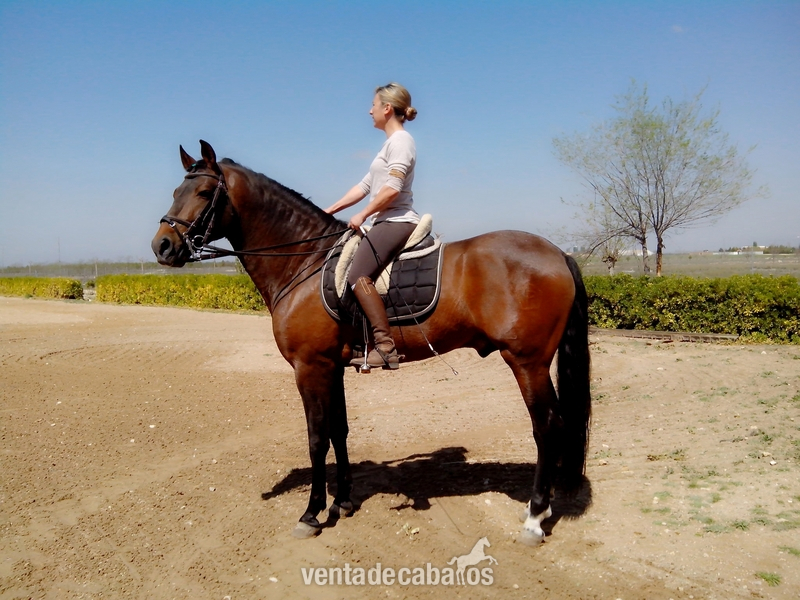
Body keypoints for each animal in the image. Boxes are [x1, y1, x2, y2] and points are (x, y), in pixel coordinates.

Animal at [151, 140, 591, 546]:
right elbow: (339, 431)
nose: (162, 246)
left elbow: (316, 439)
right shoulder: (332, 367)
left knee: (547, 426)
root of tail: (558, 253)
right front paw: (342, 501)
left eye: (204, 193)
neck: (304, 261)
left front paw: (311, 514)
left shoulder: (310, 367)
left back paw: (535, 517)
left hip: (527, 362)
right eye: (175, 191)